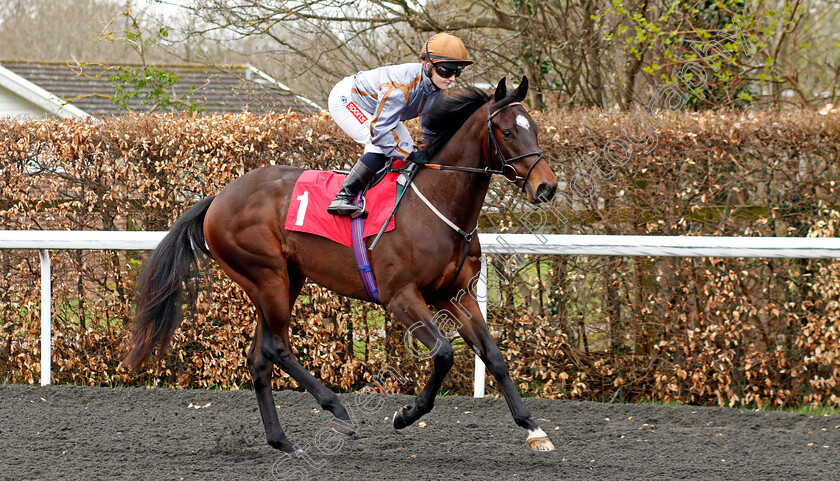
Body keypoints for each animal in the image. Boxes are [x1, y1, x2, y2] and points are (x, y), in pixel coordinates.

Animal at [124, 77, 556, 452]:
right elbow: (443, 353)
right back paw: (339, 411)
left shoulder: (456, 295)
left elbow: (494, 356)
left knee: (259, 359)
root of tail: (217, 198)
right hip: (266, 278)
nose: (547, 187)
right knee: (278, 348)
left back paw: (283, 442)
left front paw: (534, 429)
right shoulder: (400, 296)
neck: (436, 205)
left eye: (534, 128)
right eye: (507, 132)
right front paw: (406, 414)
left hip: (285, 280)